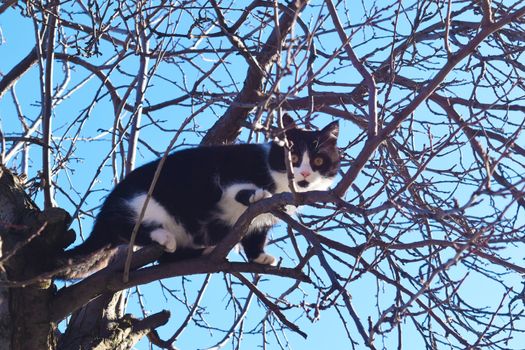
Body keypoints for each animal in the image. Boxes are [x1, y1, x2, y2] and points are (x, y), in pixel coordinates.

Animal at [60, 113, 340, 274]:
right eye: (293, 158)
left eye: (317, 160)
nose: (304, 174)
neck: (279, 183)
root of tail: (104, 213)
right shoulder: (228, 170)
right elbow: (235, 188)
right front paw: (256, 195)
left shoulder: (262, 220)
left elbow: (255, 233)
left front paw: (259, 257)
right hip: (145, 201)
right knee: (129, 228)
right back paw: (163, 237)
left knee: (164, 260)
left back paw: (201, 251)